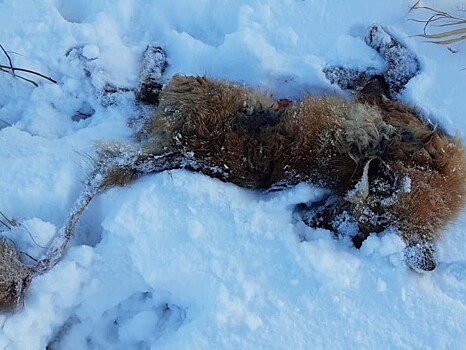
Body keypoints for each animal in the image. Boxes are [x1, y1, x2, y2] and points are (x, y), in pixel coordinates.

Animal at [0, 24, 464, 312]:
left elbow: (392, 73)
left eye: (348, 234)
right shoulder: (386, 109)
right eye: (342, 219)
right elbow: (396, 70)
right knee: (138, 94)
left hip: (193, 88)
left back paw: (99, 60)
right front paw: (359, 56)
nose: (307, 220)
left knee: (140, 93)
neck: (429, 169)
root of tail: (178, 151)